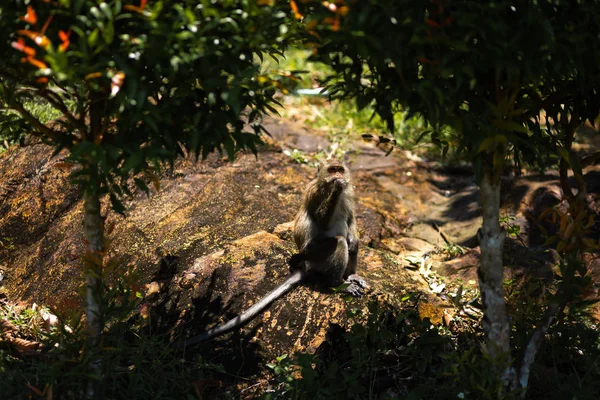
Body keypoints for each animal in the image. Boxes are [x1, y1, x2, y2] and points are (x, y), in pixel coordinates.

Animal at [178, 158, 366, 346]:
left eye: (340, 169)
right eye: (332, 170)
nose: (338, 176)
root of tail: (306, 263)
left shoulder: (349, 194)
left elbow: (350, 219)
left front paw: (353, 238)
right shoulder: (316, 192)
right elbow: (322, 221)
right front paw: (336, 189)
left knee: (351, 245)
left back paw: (350, 275)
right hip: (315, 253)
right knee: (339, 242)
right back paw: (338, 284)